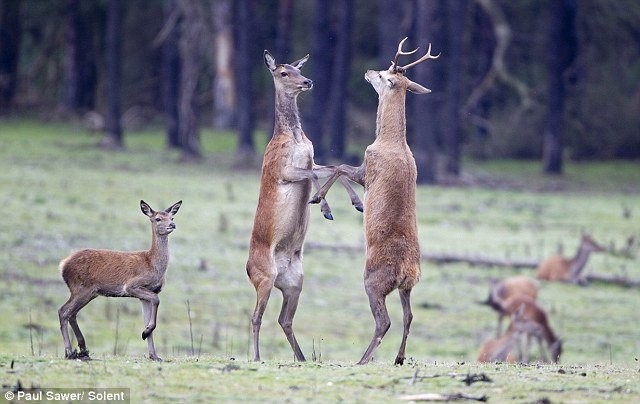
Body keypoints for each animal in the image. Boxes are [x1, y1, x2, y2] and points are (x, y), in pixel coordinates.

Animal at [58, 200, 181, 362]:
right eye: (158, 218)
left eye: (172, 217)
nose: (172, 225)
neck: (152, 264)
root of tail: (63, 265)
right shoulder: (132, 286)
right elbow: (156, 300)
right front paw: (145, 333)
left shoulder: (146, 294)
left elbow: (148, 319)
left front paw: (154, 354)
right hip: (81, 288)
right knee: (64, 311)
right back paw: (69, 352)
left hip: (88, 292)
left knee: (71, 313)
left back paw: (82, 350)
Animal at [248, 50, 362, 362]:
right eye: (283, 73)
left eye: (298, 69)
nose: (307, 81)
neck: (295, 138)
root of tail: (248, 269)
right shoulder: (282, 169)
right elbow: (314, 175)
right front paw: (322, 205)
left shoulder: (313, 158)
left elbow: (336, 167)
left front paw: (356, 202)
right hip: (264, 277)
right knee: (255, 317)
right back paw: (257, 357)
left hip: (295, 282)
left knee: (284, 319)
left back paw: (301, 358)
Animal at [310, 38, 440, 366]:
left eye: (383, 75)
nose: (368, 71)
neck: (389, 141)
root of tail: (407, 270)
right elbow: (337, 166)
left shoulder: (369, 168)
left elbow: (340, 166)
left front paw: (323, 201)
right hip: (408, 288)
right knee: (409, 317)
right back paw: (399, 358)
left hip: (373, 281)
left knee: (385, 321)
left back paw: (362, 360)